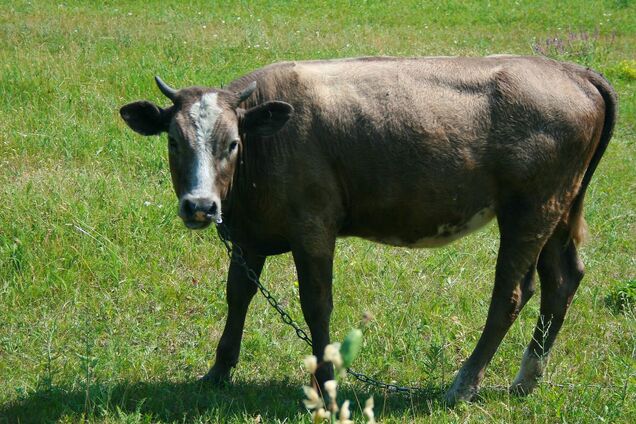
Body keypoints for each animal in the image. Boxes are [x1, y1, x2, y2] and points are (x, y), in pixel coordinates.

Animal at [119, 56, 616, 404]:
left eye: (233, 143)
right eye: (174, 141)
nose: (200, 206)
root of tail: (570, 70)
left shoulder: (313, 228)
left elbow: (316, 303)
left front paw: (325, 381)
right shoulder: (247, 236)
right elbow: (238, 295)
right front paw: (218, 372)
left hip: (531, 209)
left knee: (512, 293)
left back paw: (463, 384)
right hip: (558, 209)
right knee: (561, 280)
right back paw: (526, 379)